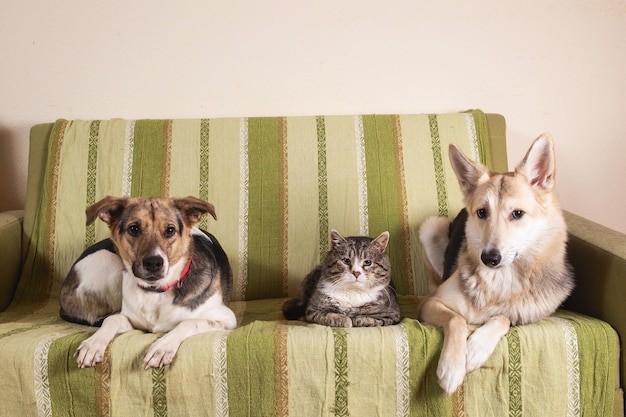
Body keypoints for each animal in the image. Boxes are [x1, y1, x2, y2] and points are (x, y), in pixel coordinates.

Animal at [59, 195, 235, 368]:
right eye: (134, 229)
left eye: (170, 230)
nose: (153, 263)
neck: (155, 292)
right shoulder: (132, 321)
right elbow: (113, 318)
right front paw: (93, 344)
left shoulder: (226, 318)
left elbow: (189, 322)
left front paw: (162, 347)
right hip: (109, 260)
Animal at [416, 135, 572, 394]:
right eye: (482, 212)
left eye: (517, 214)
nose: (489, 258)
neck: (500, 279)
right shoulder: (431, 303)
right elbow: (457, 319)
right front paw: (451, 368)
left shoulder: (523, 316)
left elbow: (504, 318)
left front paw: (475, 349)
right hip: (430, 227)